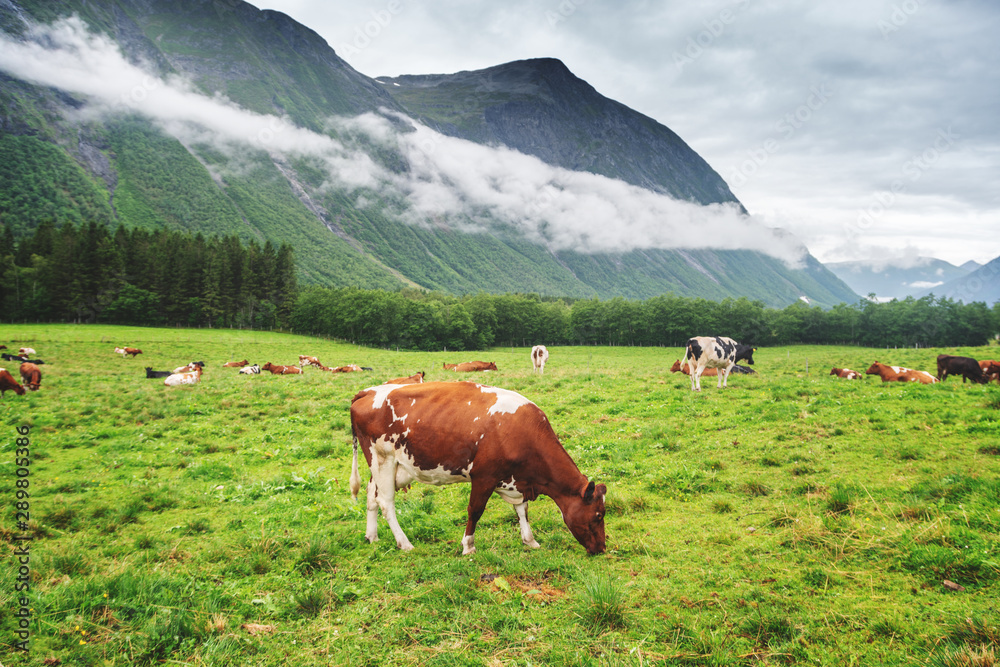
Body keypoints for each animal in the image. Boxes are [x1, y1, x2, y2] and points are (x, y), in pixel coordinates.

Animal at [348, 380, 604, 560]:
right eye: (599, 515)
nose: (602, 548)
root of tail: (368, 391)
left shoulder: (517, 480)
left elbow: (522, 510)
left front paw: (530, 540)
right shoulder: (484, 477)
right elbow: (475, 511)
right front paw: (468, 546)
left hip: (391, 466)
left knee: (372, 495)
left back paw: (372, 536)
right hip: (382, 458)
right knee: (386, 503)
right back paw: (405, 543)